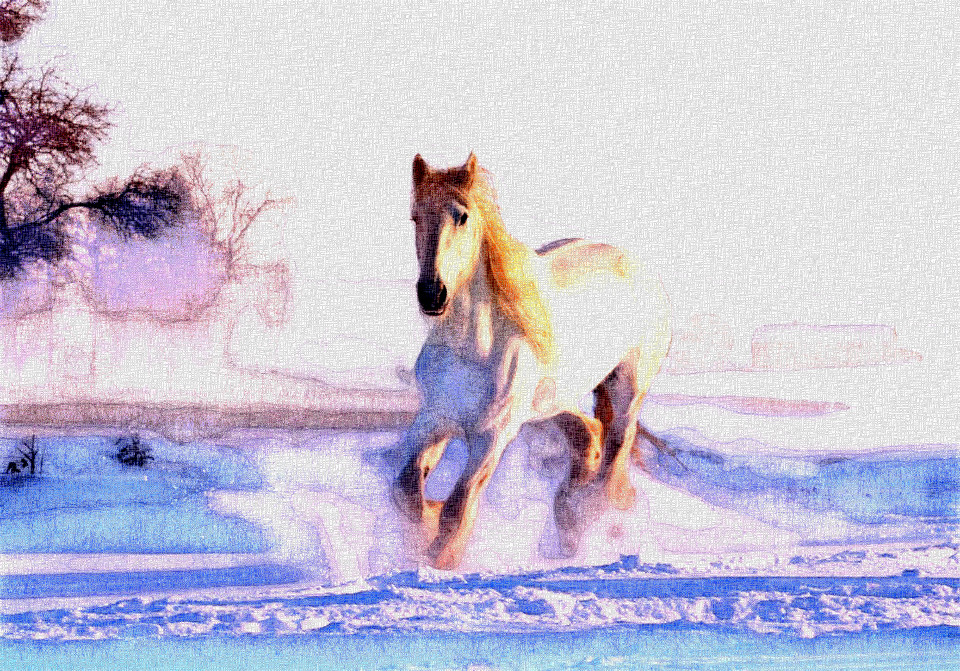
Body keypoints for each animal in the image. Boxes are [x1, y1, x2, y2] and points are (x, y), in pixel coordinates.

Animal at [393, 153, 671, 569]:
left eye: (462, 216)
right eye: (415, 217)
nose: (432, 294)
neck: (473, 347)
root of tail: (642, 270)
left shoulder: (493, 435)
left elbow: (458, 509)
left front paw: (440, 559)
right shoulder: (435, 418)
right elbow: (407, 491)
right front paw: (424, 530)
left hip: (627, 389)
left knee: (613, 457)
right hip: (552, 402)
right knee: (590, 436)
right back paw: (567, 525)